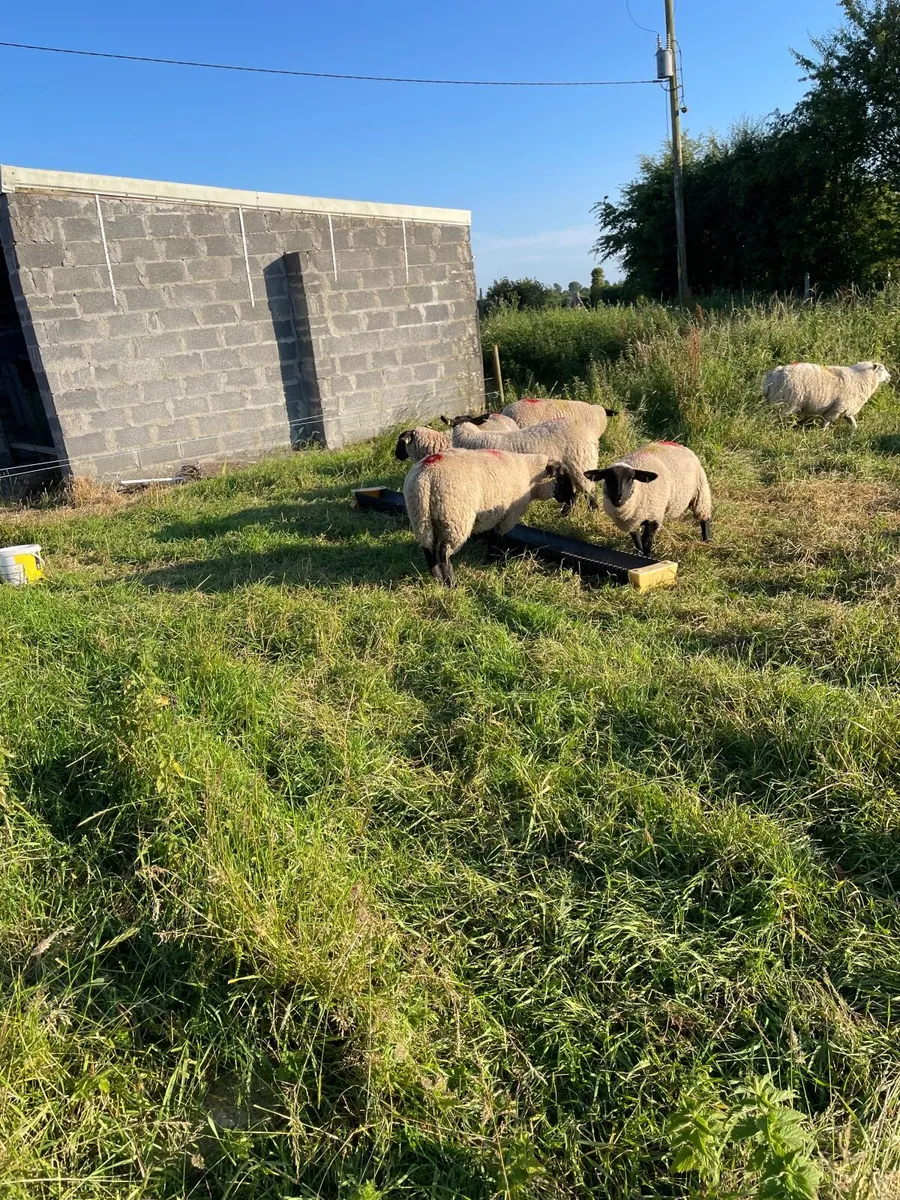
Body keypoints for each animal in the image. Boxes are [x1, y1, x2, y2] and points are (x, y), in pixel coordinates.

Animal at [403, 447, 567, 585]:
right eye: (562, 477)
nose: (568, 499)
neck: (528, 472)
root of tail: (426, 477)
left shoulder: (494, 515)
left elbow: (492, 536)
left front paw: (490, 558)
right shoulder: (508, 516)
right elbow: (500, 538)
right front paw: (500, 562)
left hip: (421, 517)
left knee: (428, 548)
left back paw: (436, 578)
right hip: (455, 518)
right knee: (444, 552)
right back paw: (451, 583)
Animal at [448, 416, 599, 514]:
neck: (471, 437)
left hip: (581, 463)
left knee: (589, 492)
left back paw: (592, 511)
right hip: (573, 468)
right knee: (574, 492)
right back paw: (565, 514)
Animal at [762, 361, 891, 428]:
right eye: (882, 369)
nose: (889, 377)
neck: (860, 378)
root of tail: (772, 376)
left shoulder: (846, 409)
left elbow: (852, 421)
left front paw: (855, 431)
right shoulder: (838, 407)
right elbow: (826, 421)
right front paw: (821, 432)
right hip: (786, 402)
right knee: (775, 417)